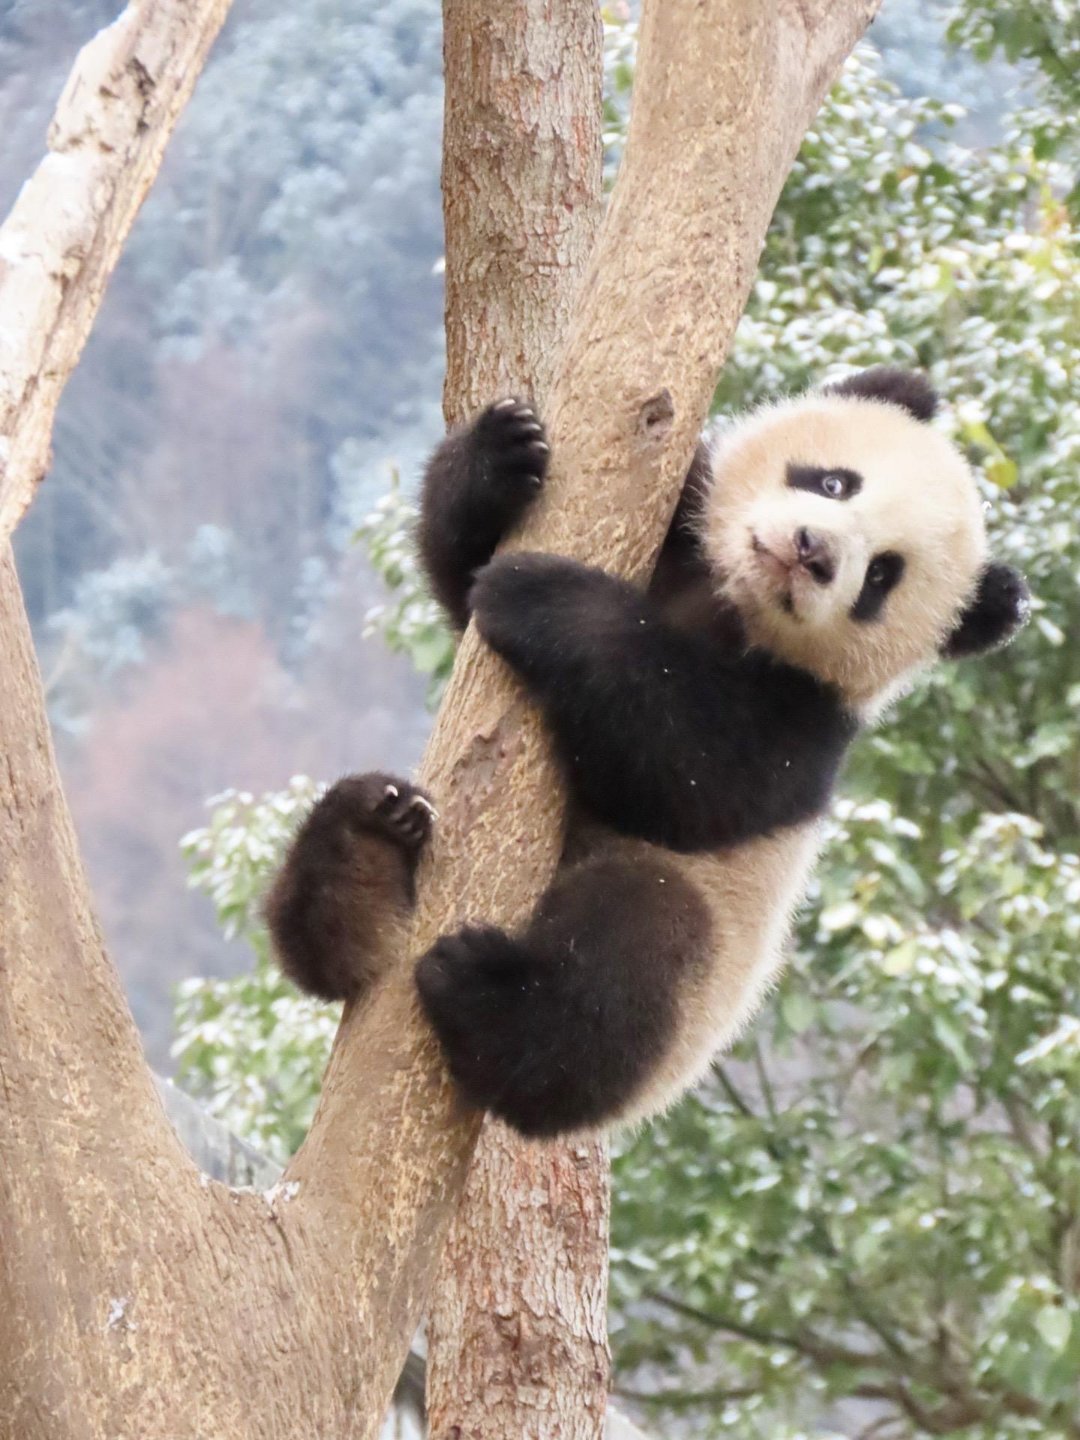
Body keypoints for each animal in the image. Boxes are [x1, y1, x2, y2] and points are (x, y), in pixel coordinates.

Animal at [269, 368, 1031, 1134]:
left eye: (881, 577)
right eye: (835, 482)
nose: (811, 550)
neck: (728, 599)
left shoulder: (806, 722)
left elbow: (695, 771)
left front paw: (542, 595)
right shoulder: (677, 533)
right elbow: (460, 584)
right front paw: (503, 451)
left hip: (695, 977)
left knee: (629, 961)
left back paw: (489, 999)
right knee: (323, 934)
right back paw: (364, 842)